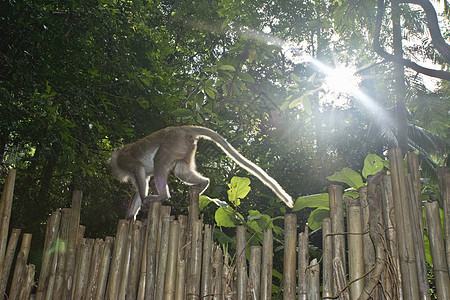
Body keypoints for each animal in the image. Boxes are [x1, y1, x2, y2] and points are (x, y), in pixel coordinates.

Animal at [110, 125, 294, 219]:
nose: (114, 171)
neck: (120, 155)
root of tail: (183, 128)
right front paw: (130, 216)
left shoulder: (127, 161)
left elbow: (139, 170)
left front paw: (144, 199)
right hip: (185, 145)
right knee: (181, 171)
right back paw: (204, 183)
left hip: (173, 142)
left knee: (160, 163)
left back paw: (162, 196)